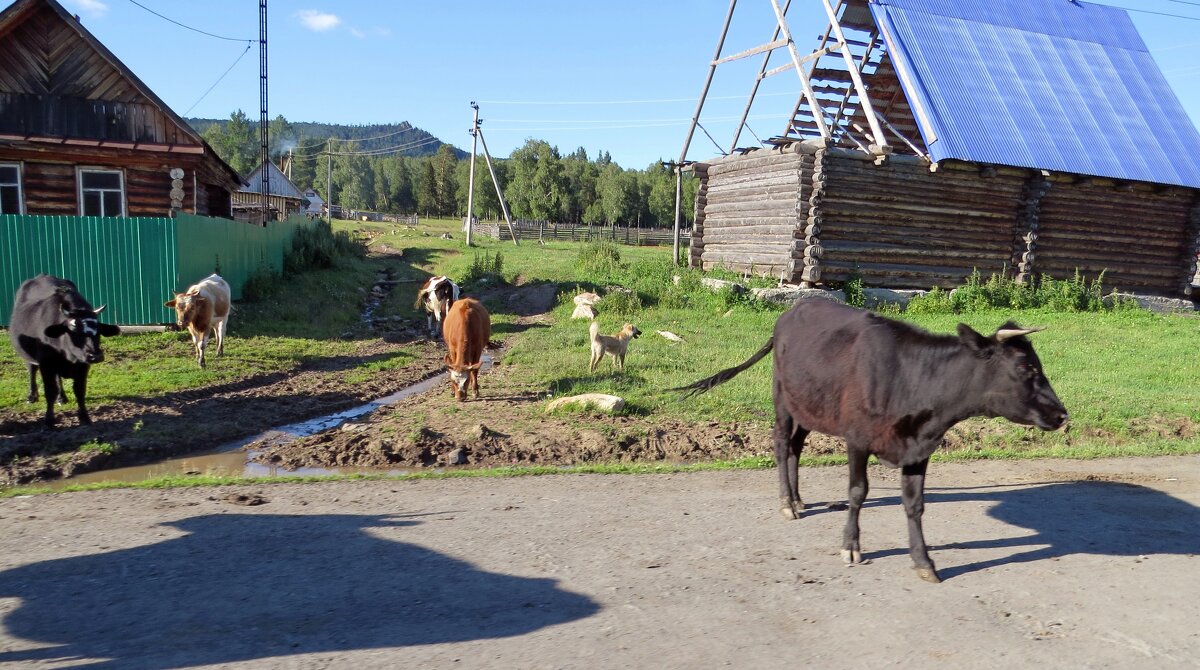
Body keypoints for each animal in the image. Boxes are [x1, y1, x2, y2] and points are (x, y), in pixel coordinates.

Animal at [8, 276, 119, 427]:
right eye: (73, 331)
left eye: (99, 331)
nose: (95, 356)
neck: (70, 357)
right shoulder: (46, 364)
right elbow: (50, 391)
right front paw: (49, 420)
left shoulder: (83, 366)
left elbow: (79, 390)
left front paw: (84, 417)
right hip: (29, 356)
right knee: (32, 370)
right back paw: (32, 396)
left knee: (58, 379)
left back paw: (62, 397)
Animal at [672, 298, 1075, 583]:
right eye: (1026, 368)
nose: (1061, 414)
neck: (913, 382)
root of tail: (792, 311)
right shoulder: (858, 439)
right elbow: (857, 493)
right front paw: (851, 546)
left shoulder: (919, 449)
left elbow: (915, 505)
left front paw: (923, 561)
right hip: (782, 398)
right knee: (782, 443)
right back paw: (787, 503)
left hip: (810, 405)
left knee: (797, 446)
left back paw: (800, 498)